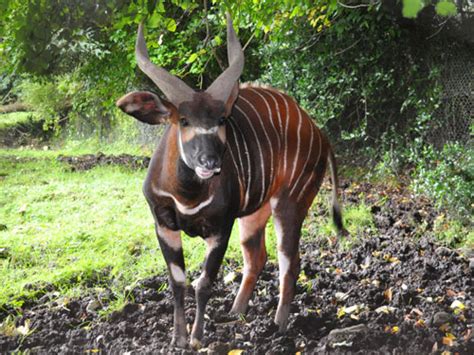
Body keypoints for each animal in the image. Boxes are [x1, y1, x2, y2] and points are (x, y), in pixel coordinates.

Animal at [116, 14, 342, 350]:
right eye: (183, 120)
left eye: (222, 119)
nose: (210, 162)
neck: (188, 196)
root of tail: (319, 133)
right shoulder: (164, 224)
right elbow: (177, 281)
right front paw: (178, 338)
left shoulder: (220, 228)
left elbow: (203, 283)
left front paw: (197, 339)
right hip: (254, 213)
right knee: (257, 257)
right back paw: (235, 313)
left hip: (290, 204)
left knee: (289, 261)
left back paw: (278, 325)